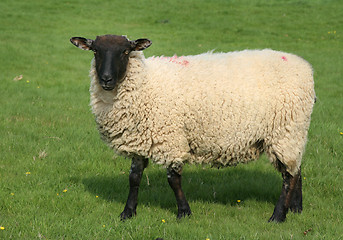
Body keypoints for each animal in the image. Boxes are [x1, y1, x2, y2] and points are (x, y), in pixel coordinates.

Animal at [70, 34, 318, 223]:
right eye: (95, 51)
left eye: (125, 52)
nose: (106, 79)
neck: (146, 84)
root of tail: (305, 67)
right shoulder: (141, 140)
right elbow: (134, 178)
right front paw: (128, 213)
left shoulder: (170, 138)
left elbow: (173, 179)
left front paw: (184, 212)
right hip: (293, 133)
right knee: (297, 169)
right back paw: (296, 208)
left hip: (286, 130)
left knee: (288, 176)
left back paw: (278, 216)